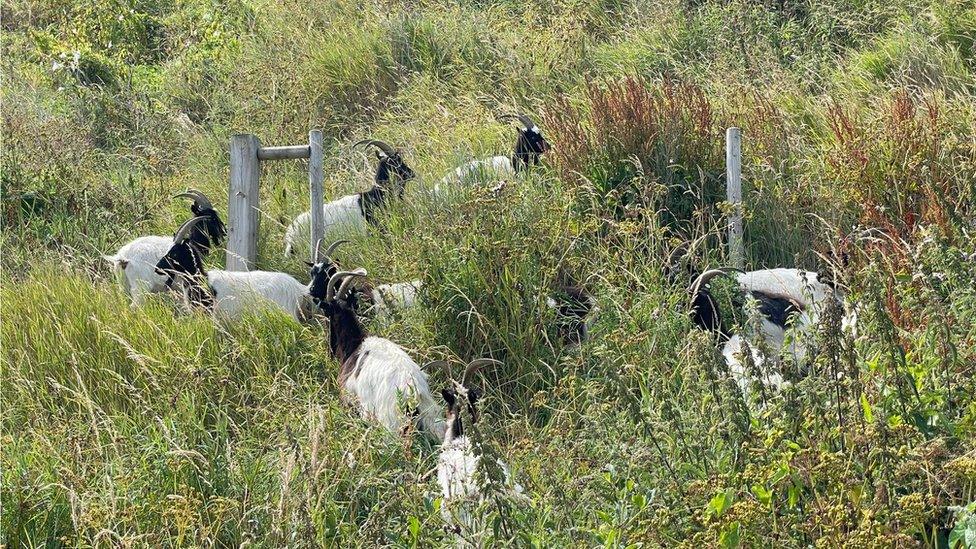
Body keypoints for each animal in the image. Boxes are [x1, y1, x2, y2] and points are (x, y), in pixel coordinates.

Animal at [308, 266, 446, 436]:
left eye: (328, 312)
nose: (330, 349)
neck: (355, 346)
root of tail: (413, 392)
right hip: (433, 417)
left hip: (389, 423)